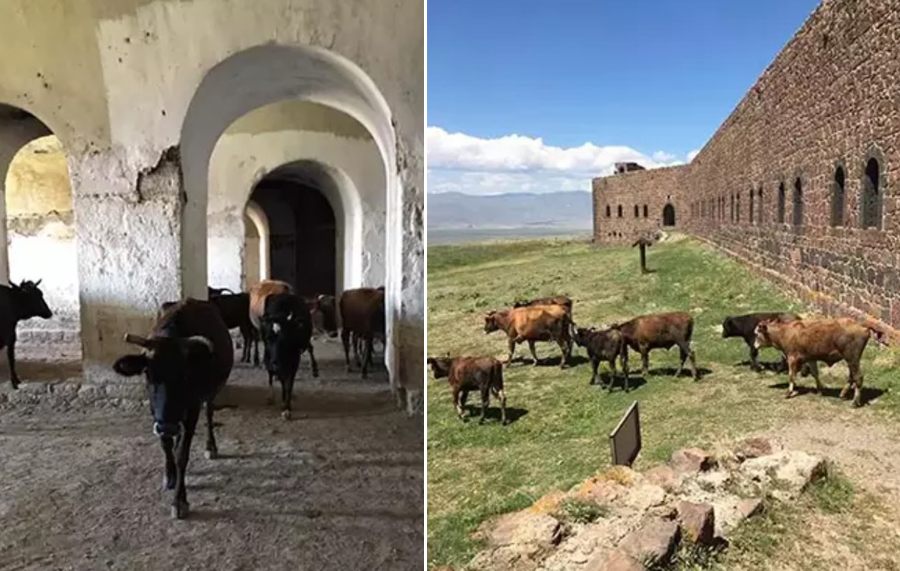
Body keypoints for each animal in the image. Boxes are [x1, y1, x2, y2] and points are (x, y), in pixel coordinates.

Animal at [112, 300, 234, 520]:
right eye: (148, 373)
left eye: (185, 375)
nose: (168, 426)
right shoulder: (156, 413)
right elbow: (165, 445)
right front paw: (170, 476)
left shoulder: (192, 410)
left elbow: (181, 454)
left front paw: (179, 500)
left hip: (210, 395)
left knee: (209, 414)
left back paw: (210, 446)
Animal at [752, 318, 884, 406]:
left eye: (757, 334)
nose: (754, 346)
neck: (786, 332)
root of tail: (862, 326)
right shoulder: (811, 358)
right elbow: (815, 373)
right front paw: (820, 389)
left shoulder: (792, 358)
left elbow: (791, 376)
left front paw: (789, 392)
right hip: (851, 360)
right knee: (852, 377)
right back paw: (843, 393)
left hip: (852, 358)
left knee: (858, 377)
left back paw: (855, 401)